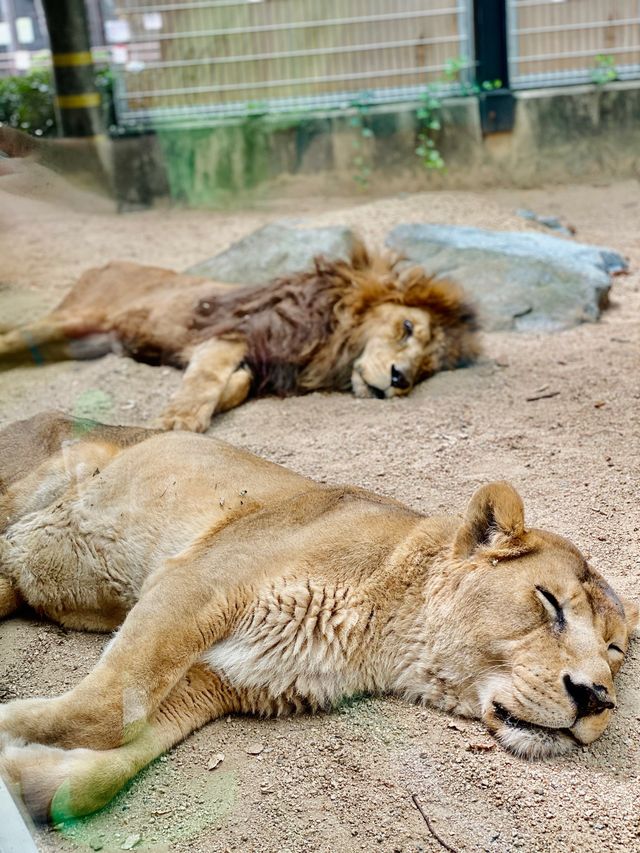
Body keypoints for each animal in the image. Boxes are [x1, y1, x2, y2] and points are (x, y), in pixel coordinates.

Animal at [0, 245, 480, 432]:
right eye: (407, 328)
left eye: (426, 369)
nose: (401, 380)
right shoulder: (232, 333)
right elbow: (205, 379)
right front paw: (177, 422)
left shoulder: (261, 362)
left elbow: (239, 384)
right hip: (64, 321)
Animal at [0, 412, 636, 824]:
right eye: (549, 602)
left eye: (615, 651)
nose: (596, 698)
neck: (380, 640)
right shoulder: (195, 583)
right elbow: (108, 708)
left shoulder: (218, 681)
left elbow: (111, 758)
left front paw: (26, 774)